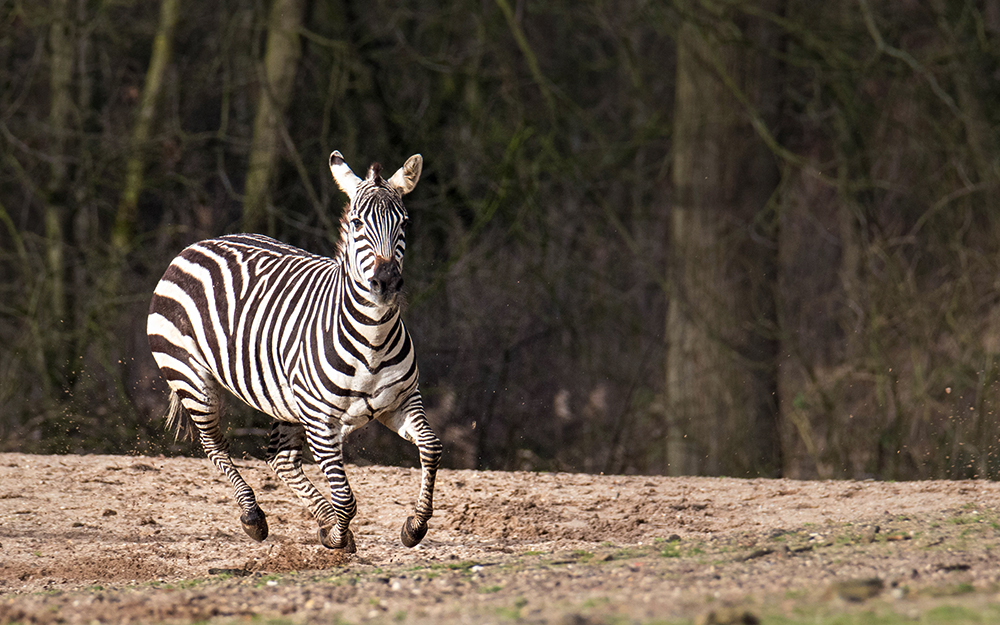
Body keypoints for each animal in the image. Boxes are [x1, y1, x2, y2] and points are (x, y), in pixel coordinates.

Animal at [147, 152, 442, 552]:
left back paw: (319, 519)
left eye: (405, 222)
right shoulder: (320, 421)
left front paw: (415, 526)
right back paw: (254, 517)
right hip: (190, 377)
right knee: (215, 445)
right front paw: (337, 536)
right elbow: (346, 497)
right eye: (357, 222)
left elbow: (431, 446)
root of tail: (199, 245)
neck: (374, 339)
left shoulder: (401, 402)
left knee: (279, 459)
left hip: (282, 400)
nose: (386, 283)